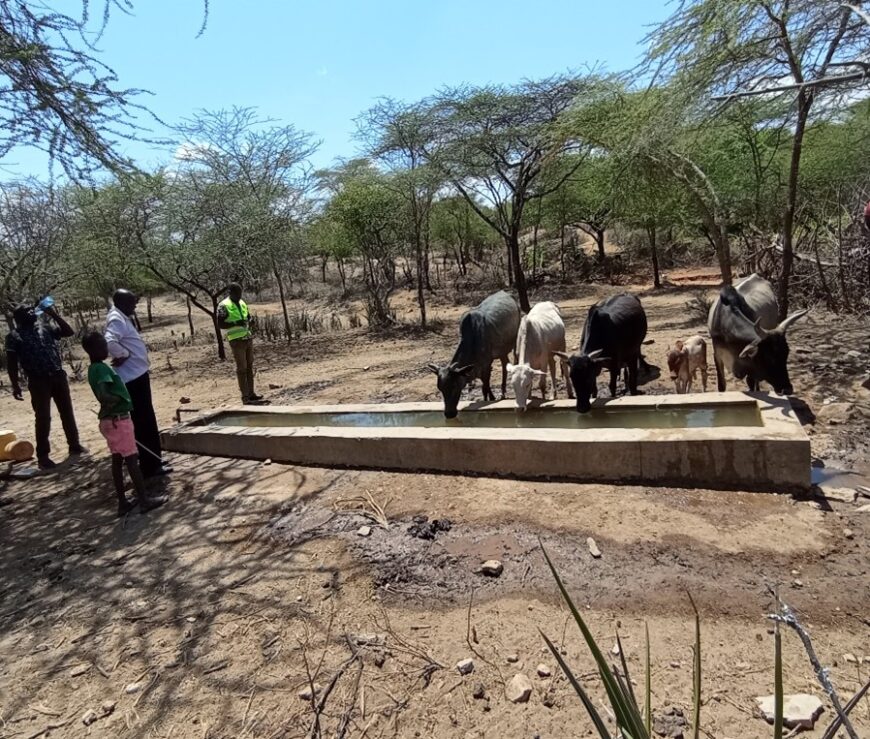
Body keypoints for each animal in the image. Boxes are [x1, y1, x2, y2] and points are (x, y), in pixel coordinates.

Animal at [428, 288, 520, 416]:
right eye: (440, 388)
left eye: (455, 386)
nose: (449, 413)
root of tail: (506, 293)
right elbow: (485, 388)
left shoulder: (487, 365)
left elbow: (485, 388)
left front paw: (490, 399)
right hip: (502, 351)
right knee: (504, 363)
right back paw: (503, 391)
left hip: (515, 339)